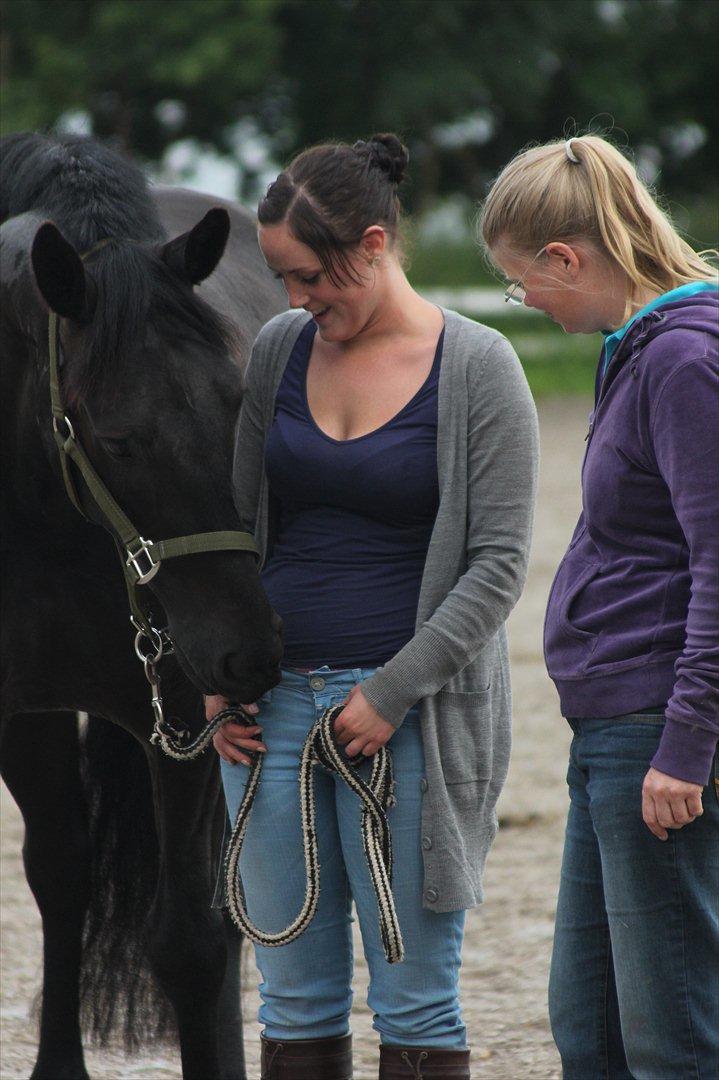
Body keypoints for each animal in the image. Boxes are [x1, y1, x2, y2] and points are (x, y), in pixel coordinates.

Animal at [0, 137, 285, 1080]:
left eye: (240, 401)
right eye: (118, 438)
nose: (249, 651)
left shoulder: (187, 715)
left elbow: (193, 942)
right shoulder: (21, 712)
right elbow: (61, 876)